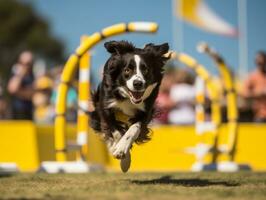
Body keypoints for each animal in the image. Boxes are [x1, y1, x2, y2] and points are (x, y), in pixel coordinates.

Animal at [90, 40, 169, 172]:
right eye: (127, 70)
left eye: (146, 70)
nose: (137, 83)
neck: (127, 97)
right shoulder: (105, 106)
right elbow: (116, 131)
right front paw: (123, 156)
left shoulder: (146, 111)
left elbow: (134, 129)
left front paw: (122, 150)